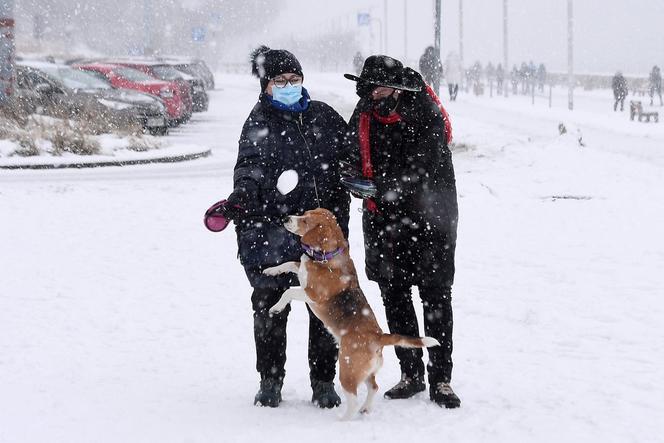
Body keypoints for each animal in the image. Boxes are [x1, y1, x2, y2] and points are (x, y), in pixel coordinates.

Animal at [262, 208, 438, 420]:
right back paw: (366, 409)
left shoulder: (312, 295)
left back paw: (343, 419)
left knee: (353, 398)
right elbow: (288, 263)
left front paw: (276, 307)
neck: (326, 256)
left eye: (305, 221)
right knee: (374, 387)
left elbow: (287, 292)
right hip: (365, 371)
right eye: (305, 213)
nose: (286, 218)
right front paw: (271, 270)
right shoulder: (301, 269)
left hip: (348, 369)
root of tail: (379, 336)